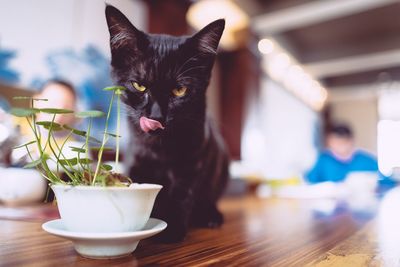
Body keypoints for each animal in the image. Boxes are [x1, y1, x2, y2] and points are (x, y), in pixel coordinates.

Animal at [104, 4, 230, 243]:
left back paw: (211, 215)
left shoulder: (193, 161)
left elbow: (182, 193)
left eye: (179, 90)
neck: (159, 149)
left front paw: (172, 228)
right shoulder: (137, 159)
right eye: (139, 86)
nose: (156, 116)